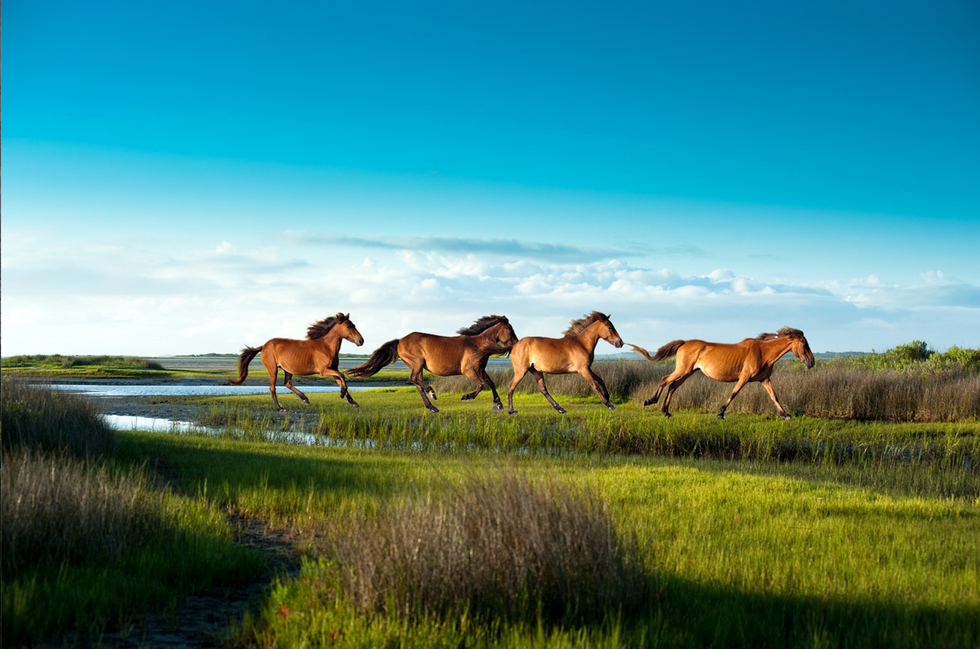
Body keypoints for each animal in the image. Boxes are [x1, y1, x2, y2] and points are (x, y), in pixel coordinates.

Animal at [229, 312, 364, 412]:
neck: (326, 347)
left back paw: (304, 398)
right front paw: (342, 395)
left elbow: (341, 380)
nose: (361, 341)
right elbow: (342, 376)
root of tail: (264, 346)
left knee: (287, 383)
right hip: (273, 370)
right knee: (273, 387)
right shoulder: (324, 370)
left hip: (287, 370)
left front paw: (353, 402)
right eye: (348, 326)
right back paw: (280, 408)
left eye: (354, 325)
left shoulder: (333, 369)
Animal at [350, 316, 520, 412]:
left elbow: (490, 383)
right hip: (417, 363)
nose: (517, 344)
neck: (478, 345)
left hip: (418, 367)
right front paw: (467, 396)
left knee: (418, 384)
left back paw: (432, 407)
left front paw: (498, 404)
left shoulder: (480, 369)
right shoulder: (469, 370)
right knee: (414, 379)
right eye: (510, 330)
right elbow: (481, 384)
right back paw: (432, 393)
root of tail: (400, 341)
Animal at [632, 324, 816, 420]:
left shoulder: (764, 379)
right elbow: (734, 393)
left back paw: (666, 411)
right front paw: (720, 413)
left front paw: (785, 414)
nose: (812, 362)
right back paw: (650, 401)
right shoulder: (744, 377)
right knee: (665, 380)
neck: (763, 352)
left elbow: (774, 396)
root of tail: (684, 343)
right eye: (804, 344)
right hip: (683, 370)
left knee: (673, 386)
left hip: (688, 372)